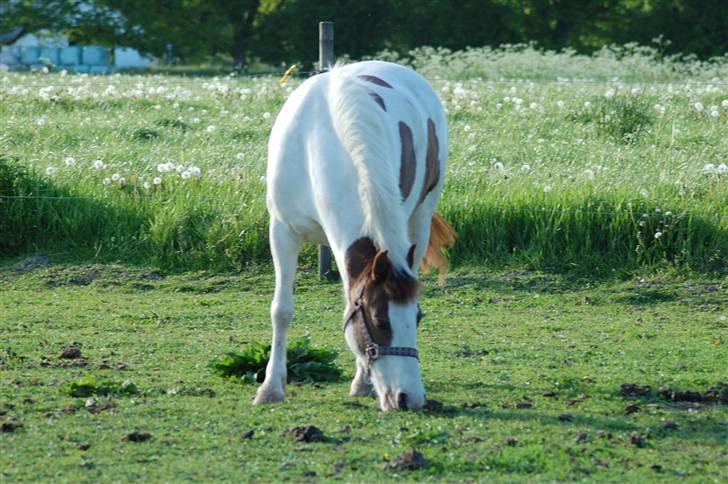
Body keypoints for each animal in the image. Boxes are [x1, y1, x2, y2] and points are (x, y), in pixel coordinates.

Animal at [258, 58, 456, 410]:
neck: (318, 143)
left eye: (418, 318)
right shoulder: (282, 231)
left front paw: (362, 380)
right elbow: (281, 310)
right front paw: (271, 388)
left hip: (419, 219)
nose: (409, 398)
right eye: (379, 321)